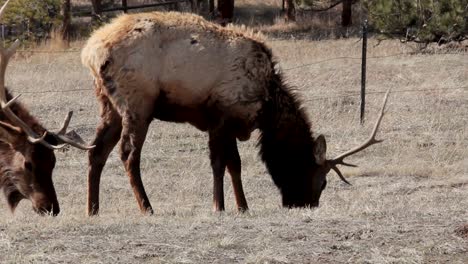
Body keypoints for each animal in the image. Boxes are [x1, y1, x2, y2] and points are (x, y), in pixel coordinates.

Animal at [80, 11, 388, 216]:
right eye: (322, 182)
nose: (303, 204)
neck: (267, 104)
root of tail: (91, 52)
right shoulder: (223, 116)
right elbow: (222, 164)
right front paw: (222, 206)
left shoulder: (225, 122)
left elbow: (232, 164)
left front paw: (239, 205)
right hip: (138, 103)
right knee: (128, 154)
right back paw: (146, 207)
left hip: (108, 105)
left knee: (96, 151)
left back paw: (93, 208)